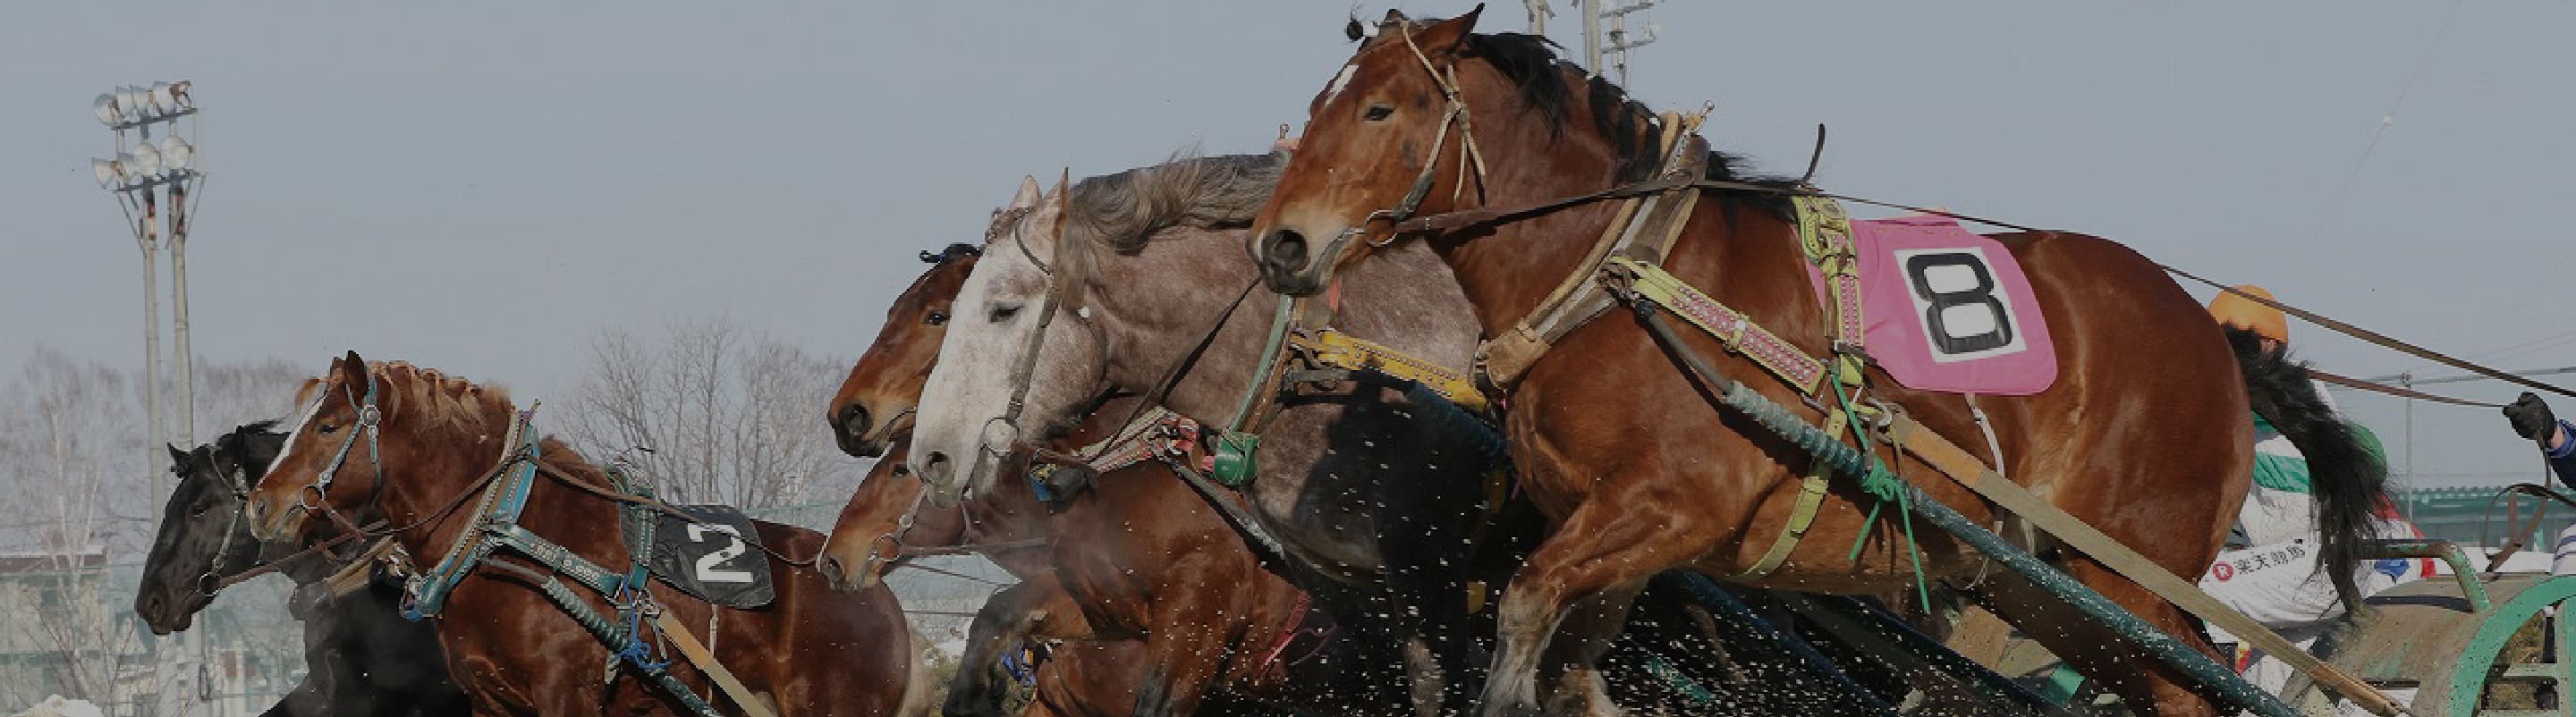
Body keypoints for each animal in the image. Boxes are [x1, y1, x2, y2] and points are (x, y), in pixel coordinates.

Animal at [241, 355, 933, 717]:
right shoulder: (490, 704)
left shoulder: (565, 698)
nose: (262, 504)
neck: (511, 534)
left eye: (329, 426)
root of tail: (880, 597)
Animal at [1245, 10, 2388, 717]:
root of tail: (2212, 341)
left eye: (1378, 108)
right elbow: (1570, 663)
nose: (1281, 244)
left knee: (2197, 684)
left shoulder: (1669, 506)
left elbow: (1524, 609)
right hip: (2052, 586)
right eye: (1322, 101)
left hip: (2131, 575)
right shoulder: (1614, 540)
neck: (1625, 274)